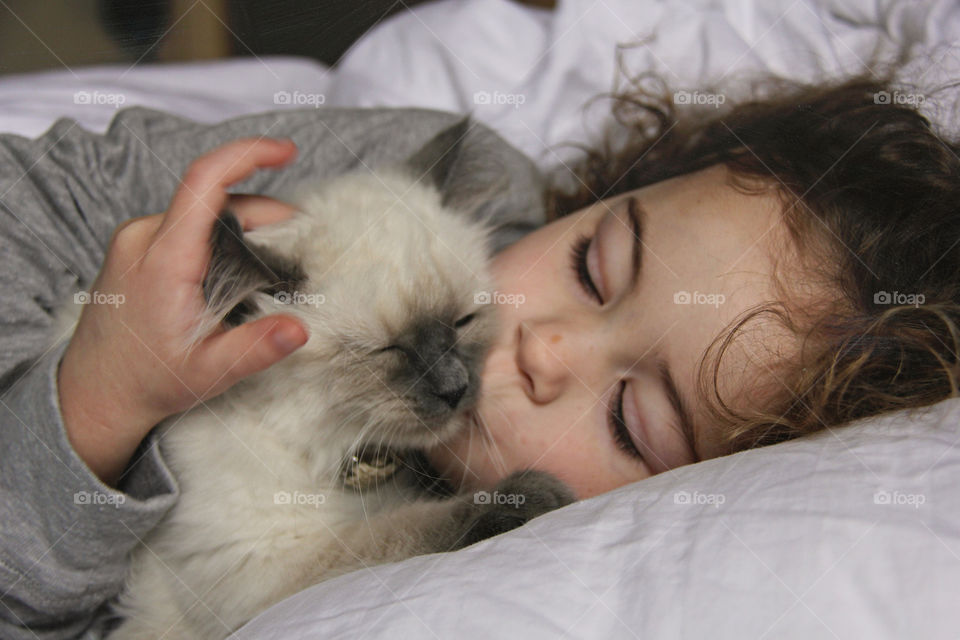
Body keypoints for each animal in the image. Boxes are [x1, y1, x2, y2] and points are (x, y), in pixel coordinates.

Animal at [103, 119, 576, 636]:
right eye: (387, 350)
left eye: (463, 322)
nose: (455, 389)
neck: (328, 445)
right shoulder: (265, 570)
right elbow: (405, 530)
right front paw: (535, 495)